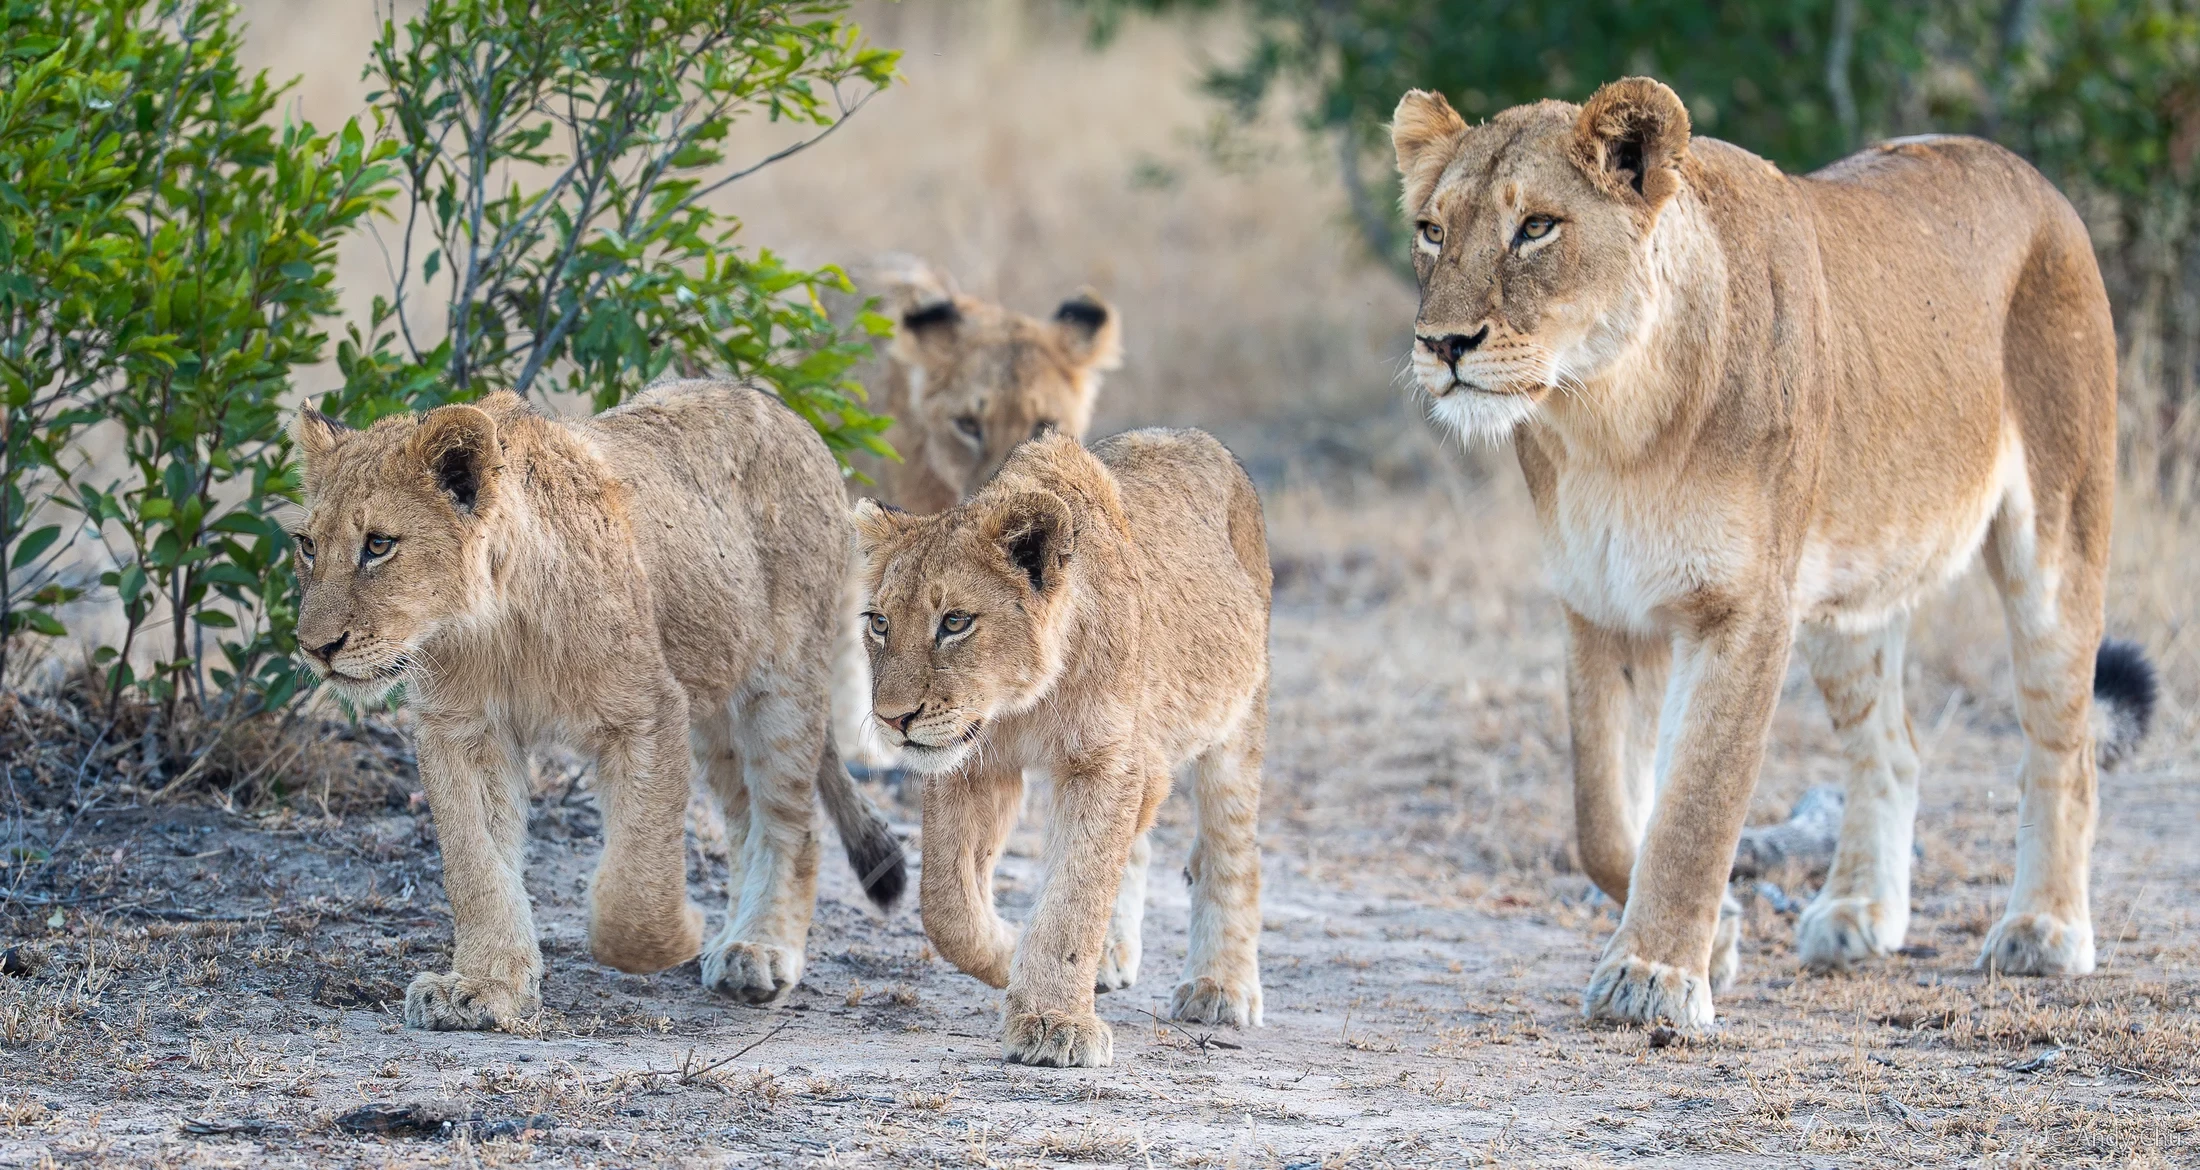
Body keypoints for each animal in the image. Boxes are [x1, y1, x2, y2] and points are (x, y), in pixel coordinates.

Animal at [287, 383, 906, 1031]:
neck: (494, 626)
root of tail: (788, 413)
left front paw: (671, 937)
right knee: (743, 822)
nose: (315, 648)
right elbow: (475, 865)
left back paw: (757, 950)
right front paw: (484, 987)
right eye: (307, 546)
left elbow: (636, 877)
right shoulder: (461, 729)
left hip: (781, 683)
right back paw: (735, 939)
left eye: (379, 545)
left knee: (793, 822)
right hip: (715, 703)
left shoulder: (649, 712)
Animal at [850, 429, 1270, 1067]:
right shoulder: (974, 765)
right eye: (879, 623)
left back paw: (1220, 988)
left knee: (1228, 850)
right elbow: (947, 904)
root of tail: (1199, 438)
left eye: (955, 622)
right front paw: (1010, 956)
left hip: (1237, 719)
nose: (893, 719)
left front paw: (1054, 1022)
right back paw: (1110, 961)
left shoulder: (1109, 763)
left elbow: (1077, 891)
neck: (1025, 703)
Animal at [1389, 78, 2158, 1029]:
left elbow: (1697, 804)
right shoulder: (1600, 608)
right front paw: (1715, 938)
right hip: (1849, 591)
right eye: (1432, 229)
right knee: (1892, 748)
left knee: (2066, 740)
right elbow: (1605, 819)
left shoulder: (1744, 609)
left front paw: (1654, 976)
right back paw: (1859, 912)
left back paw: (2044, 930)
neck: (1608, 420)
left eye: (1536, 226)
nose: (1442, 344)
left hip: (2056, 537)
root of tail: (2035, 180)